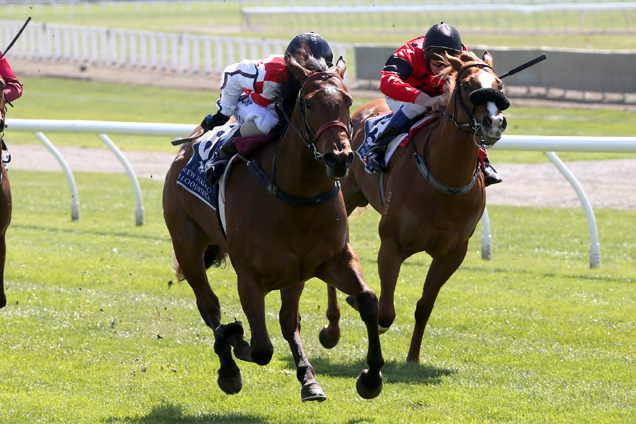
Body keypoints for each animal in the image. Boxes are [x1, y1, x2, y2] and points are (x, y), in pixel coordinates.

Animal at [161, 48, 386, 400]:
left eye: (348, 101)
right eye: (308, 103)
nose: (339, 158)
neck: (297, 195)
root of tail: (185, 149)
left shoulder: (331, 260)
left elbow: (367, 301)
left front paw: (371, 377)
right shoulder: (249, 278)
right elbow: (261, 348)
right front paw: (234, 338)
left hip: (294, 274)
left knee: (287, 320)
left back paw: (308, 379)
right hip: (186, 245)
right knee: (209, 308)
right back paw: (228, 365)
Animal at [320, 51, 510, 362]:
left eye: (499, 85)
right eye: (467, 85)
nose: (494, 122)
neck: (445, 179)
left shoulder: (453, 252)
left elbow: (424, 306)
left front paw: (413, 358)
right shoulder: (392, 242)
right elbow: (384, 312)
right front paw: (359, 304)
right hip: (343, 197)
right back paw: (331, 330)